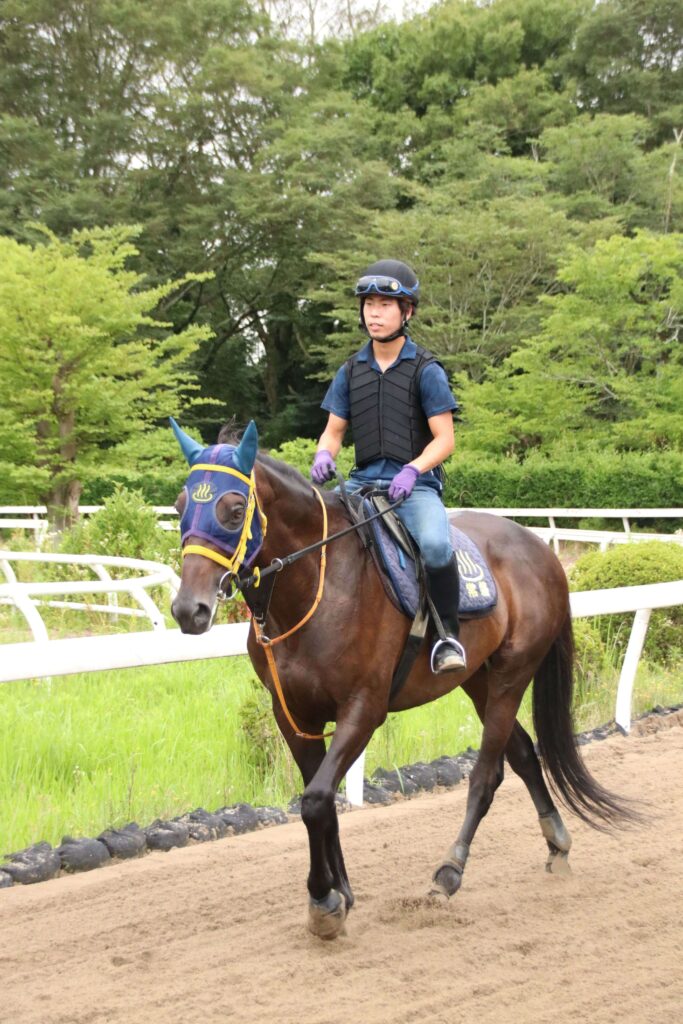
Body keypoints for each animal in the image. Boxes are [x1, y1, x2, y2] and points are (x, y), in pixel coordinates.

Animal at [171, 419, 634, 937]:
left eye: (234, 511)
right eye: (180, 507)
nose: (188, 609)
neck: (318, 583)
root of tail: (540, 549)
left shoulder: (363, 709)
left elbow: (315, 799)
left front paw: (323, 899)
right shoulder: (294, 716)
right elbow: (321, 802)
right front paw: (341, 892)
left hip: (512, 676)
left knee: (486, 773)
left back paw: (450, 870)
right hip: (479, 680)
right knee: (523, 755)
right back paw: (556, 843)